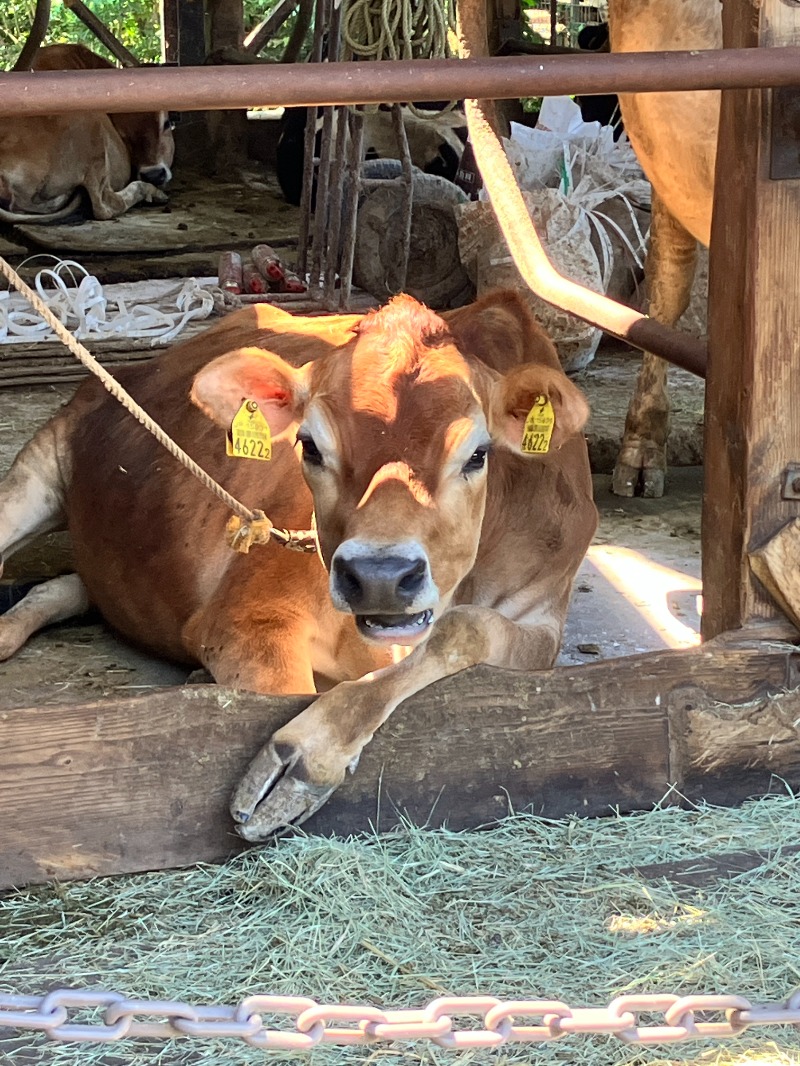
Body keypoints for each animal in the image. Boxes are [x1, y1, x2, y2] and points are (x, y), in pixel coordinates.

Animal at [0, 292, 597, 840]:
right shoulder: (248, 619)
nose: (380, 578)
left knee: (69, 585)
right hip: (38, 468)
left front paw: (308, 757)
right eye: (308, 445)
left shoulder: (545, 616)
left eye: (478, 453)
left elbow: (462, 629)